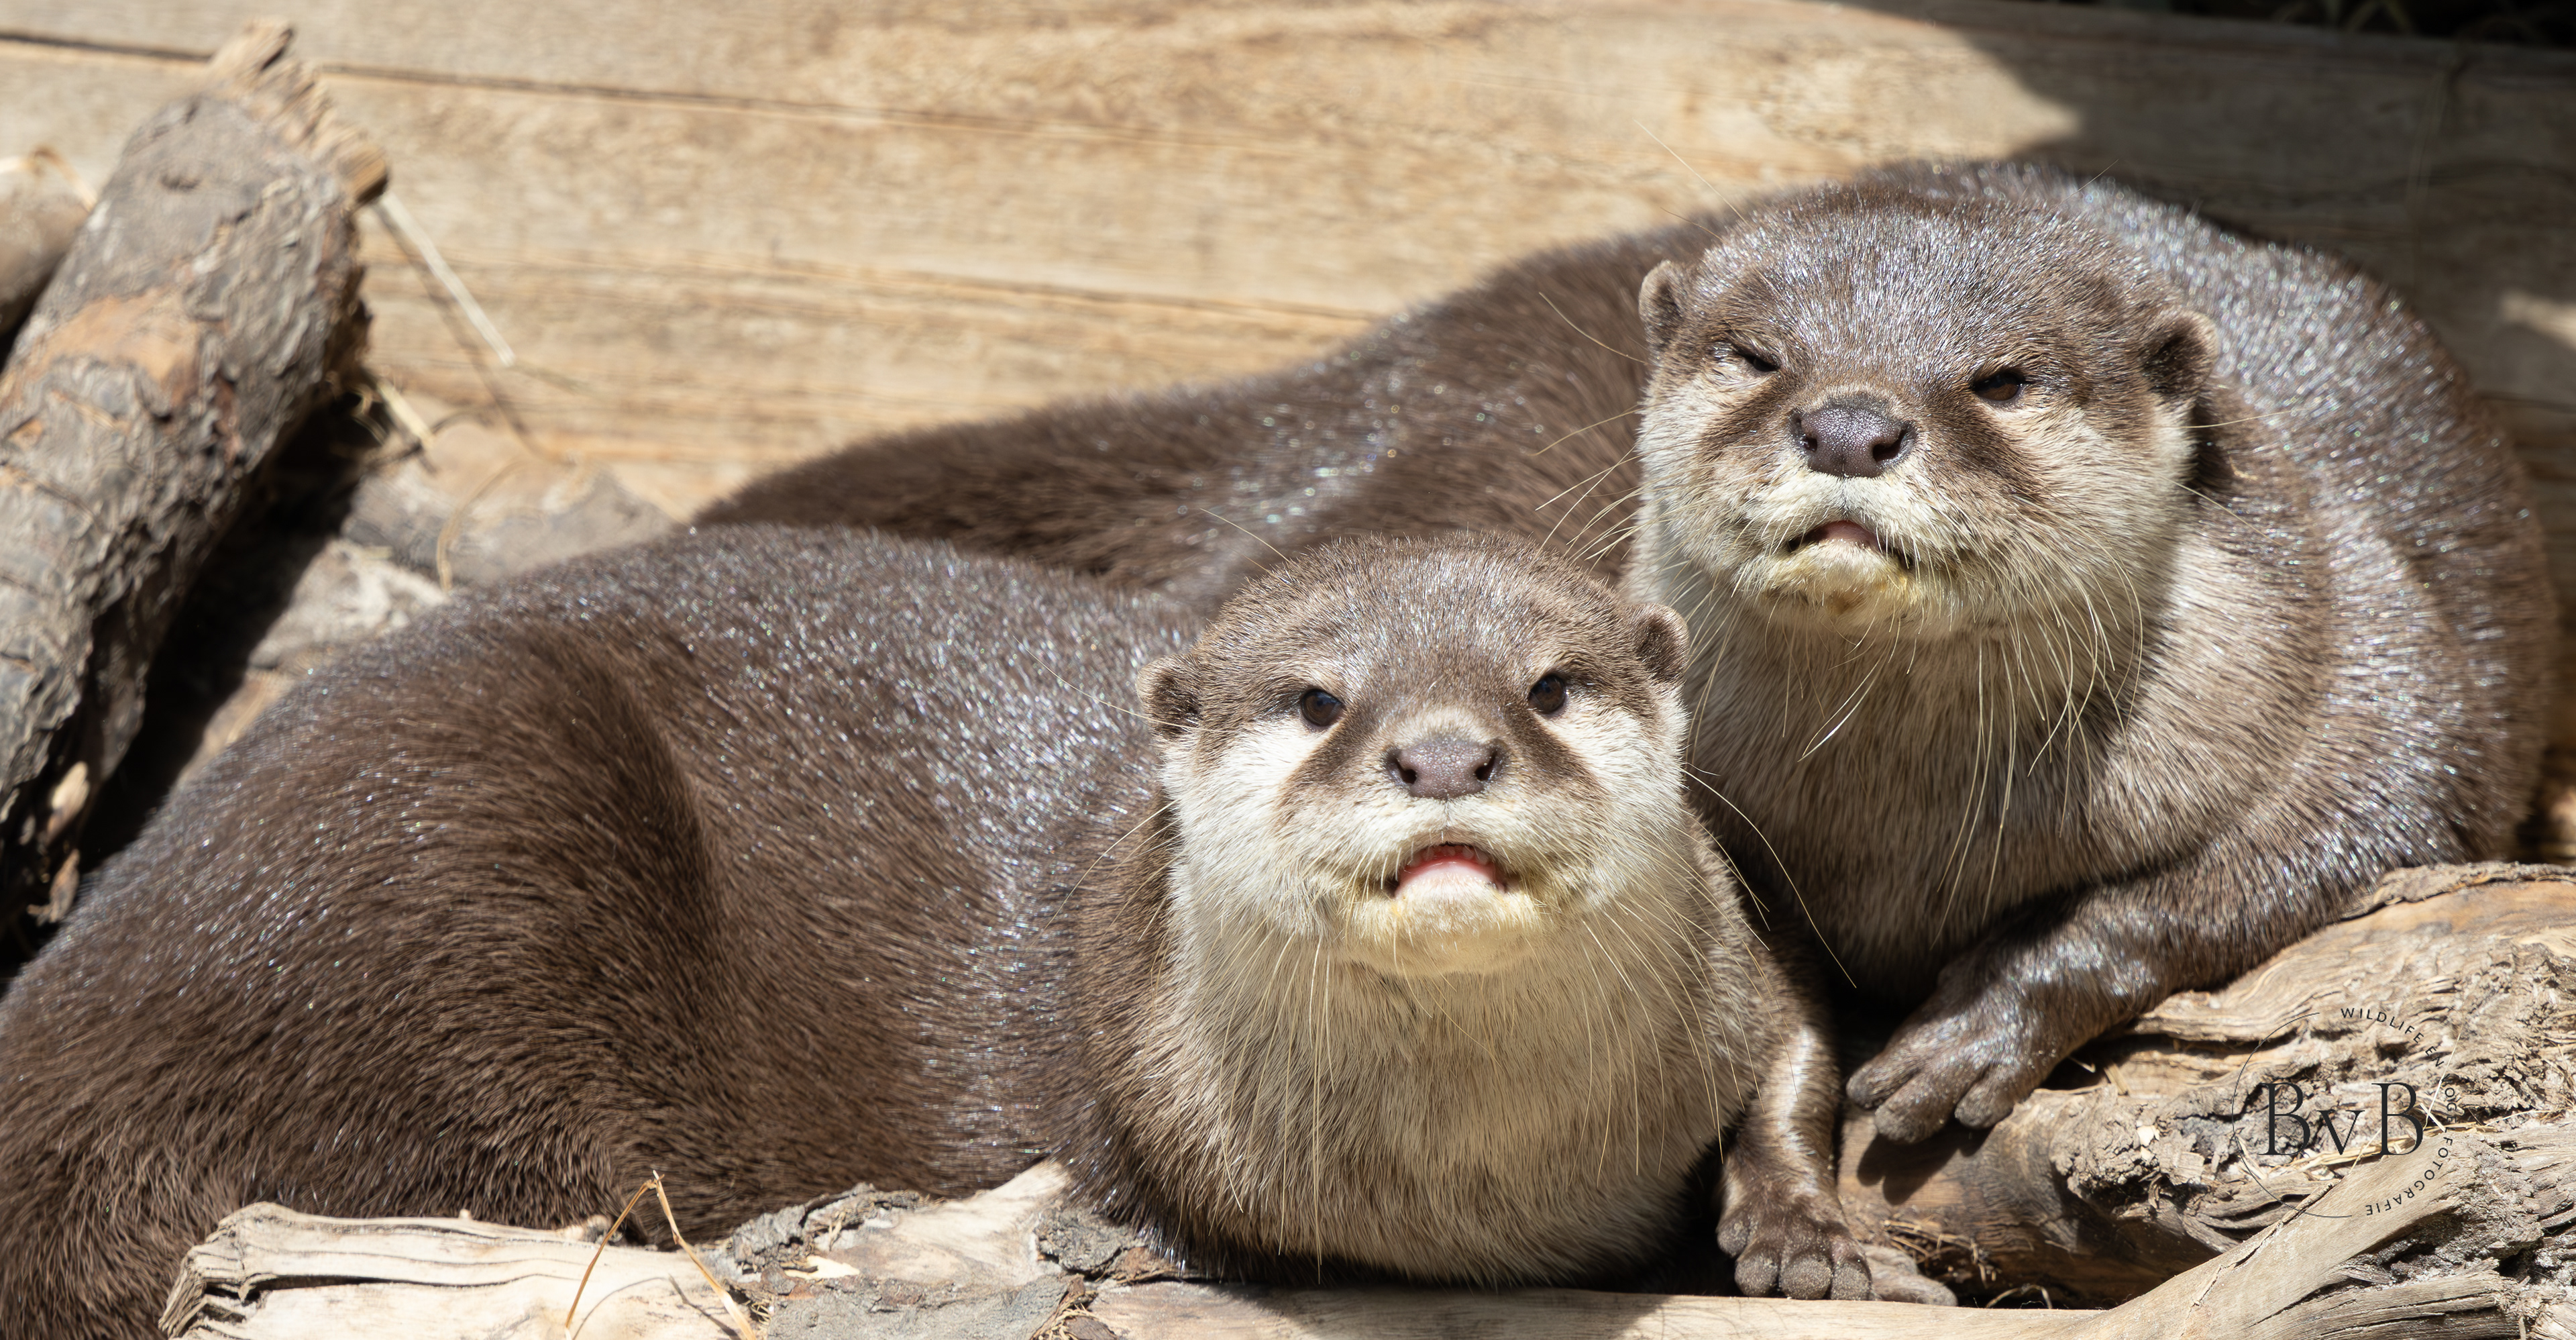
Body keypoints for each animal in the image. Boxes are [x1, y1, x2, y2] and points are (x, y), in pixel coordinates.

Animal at [0, 528, 1892, 1340]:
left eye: (1551, 686)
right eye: (1316, 699)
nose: (1440, 748)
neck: (1491, 1182)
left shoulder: (1743, 954)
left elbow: (1803, 1053)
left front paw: (1810, 1231)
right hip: (447, 841)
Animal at [703, 161, 2553, 1143]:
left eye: (2003, 377)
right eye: (1756, 352)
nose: (1852, 417)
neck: (1903, 832)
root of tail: (1393, 366)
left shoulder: (2367, 651)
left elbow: (2316, 843)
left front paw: (1976, 1024)